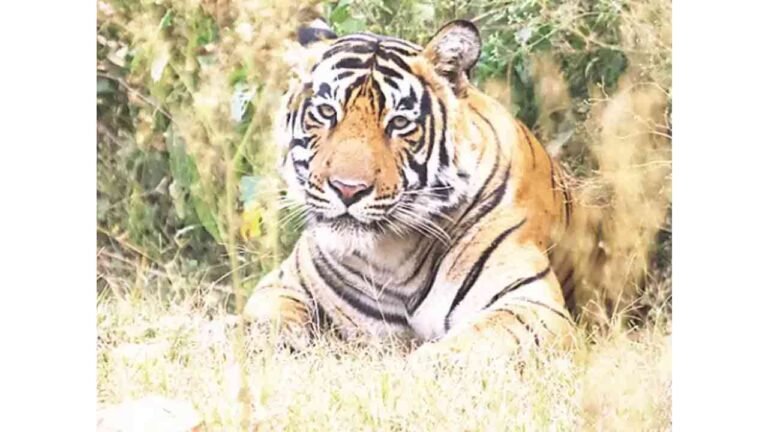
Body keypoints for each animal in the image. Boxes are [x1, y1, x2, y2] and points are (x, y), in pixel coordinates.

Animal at [243, 19, 583, 358]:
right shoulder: (282, 284)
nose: (347, 190)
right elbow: (266, 326)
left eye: (399, 123)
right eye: (327, 113)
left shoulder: (533, 304)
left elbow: (462, 348)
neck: (392, 258)